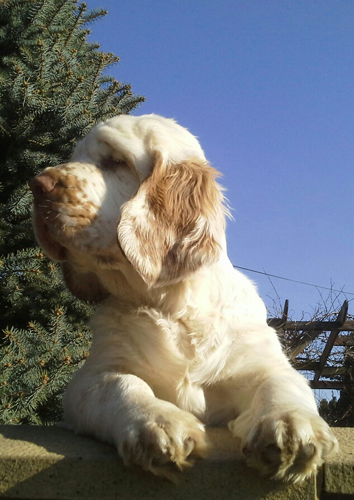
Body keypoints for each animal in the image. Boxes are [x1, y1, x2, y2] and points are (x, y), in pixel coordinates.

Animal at [31, 113, 338, 480]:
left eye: (116, 161)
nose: (36, 185)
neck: (173, 304)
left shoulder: (261, 362)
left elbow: (280, 384)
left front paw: (291, 425)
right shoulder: (91, 378)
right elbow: (123, 385)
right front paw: (160, 424)